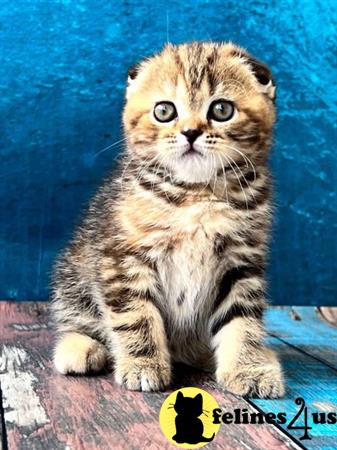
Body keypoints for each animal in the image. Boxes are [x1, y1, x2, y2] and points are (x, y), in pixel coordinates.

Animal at [51, 42, 284, 400]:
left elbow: (242, 318)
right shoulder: (122, 258)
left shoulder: (241, 262)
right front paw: (143, 364)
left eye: (221, 110)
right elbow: (136, 315)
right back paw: (81, 348)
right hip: (74, 270)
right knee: (78, 317)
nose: (190, 132)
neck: (196, 193)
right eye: (165, 111)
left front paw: (249, 367)